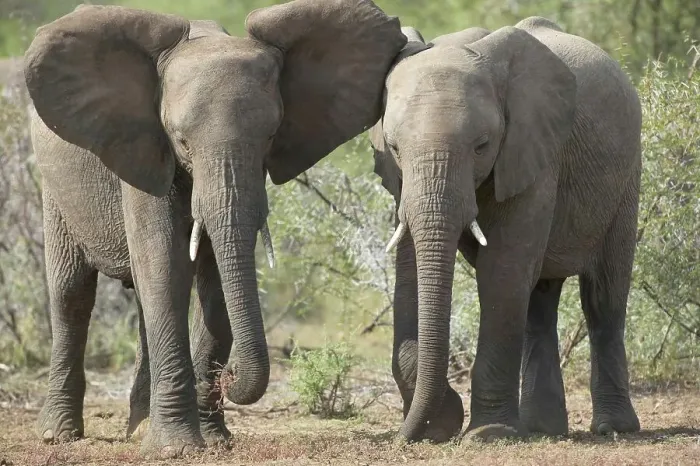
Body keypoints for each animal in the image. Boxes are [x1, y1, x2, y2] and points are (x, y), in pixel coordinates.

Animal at [23, 0, 406, 457]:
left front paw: (215, 439)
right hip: (55, 189)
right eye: (182, 141)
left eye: (271, 137)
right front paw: (176, 450)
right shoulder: (145, 150)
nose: (230, 375)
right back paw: (58, 433)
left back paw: (140, 426)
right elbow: (164, 264)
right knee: (71, 294)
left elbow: (215, 278)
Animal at [370, 19, 642, 442]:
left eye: (482, 146)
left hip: (626, 176)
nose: (406, 438)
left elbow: (503, 272)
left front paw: (488, 434)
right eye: (395, 148)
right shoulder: (402, 182)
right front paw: (447, 423)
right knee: (539, 302)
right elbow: (409, 271)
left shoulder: (533, 149)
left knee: (603, 298)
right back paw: (543, 429)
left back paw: (613, 429)